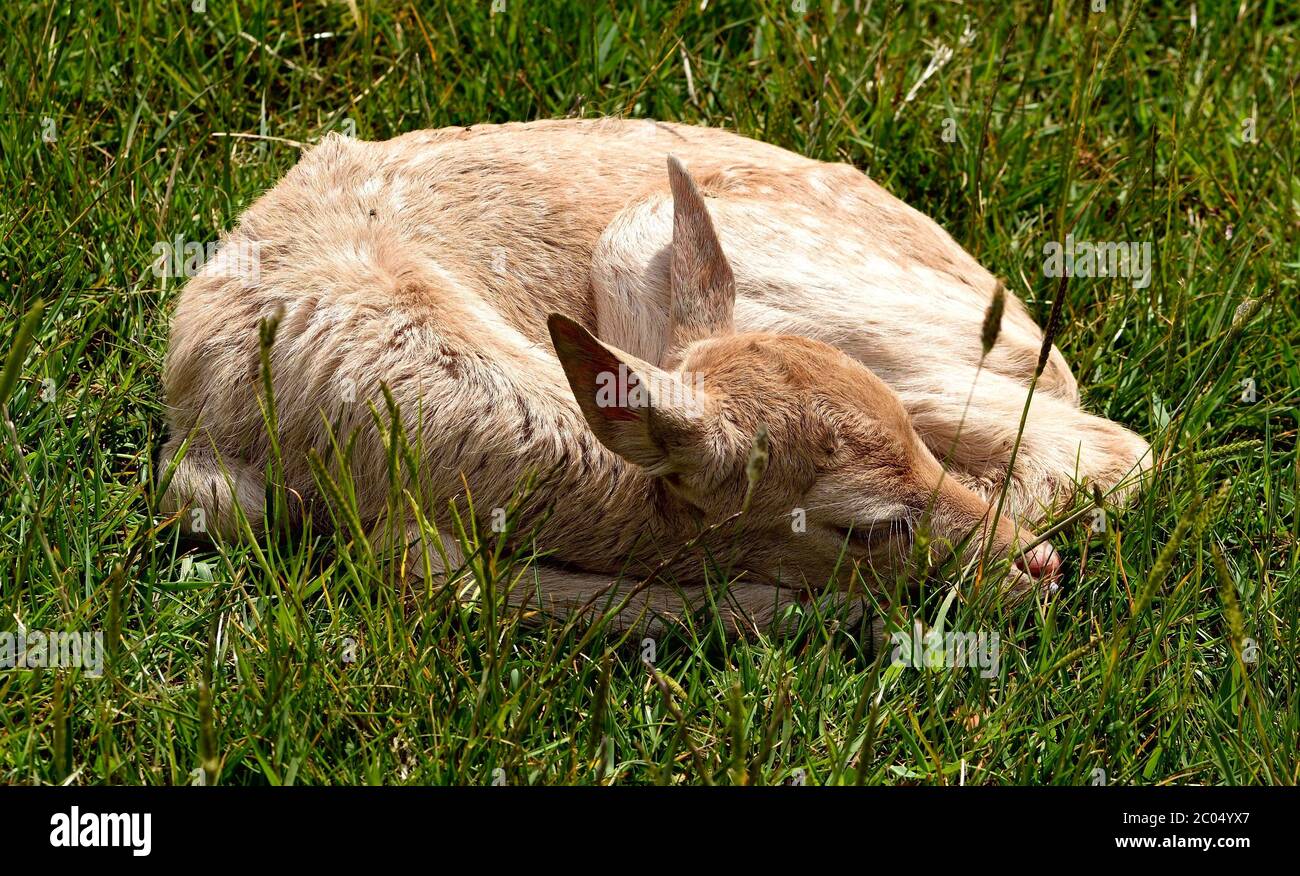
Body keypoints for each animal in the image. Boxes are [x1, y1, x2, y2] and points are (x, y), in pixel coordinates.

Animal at [159, 117, 1149, 634]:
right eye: (868, 528)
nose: (1037, 567)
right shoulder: (200, 486)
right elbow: (434, 570)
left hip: (650, 238)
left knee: (1107, 446)